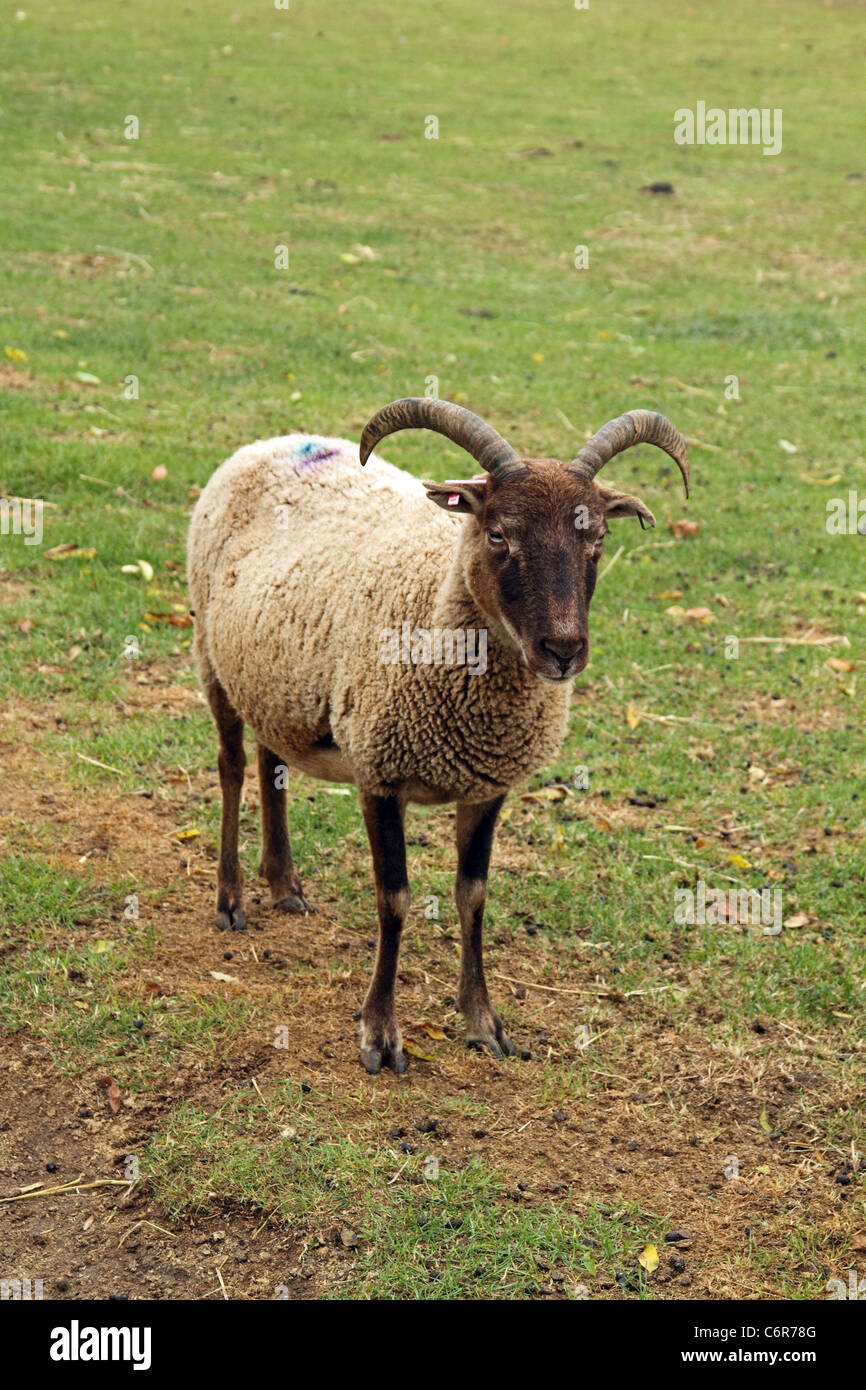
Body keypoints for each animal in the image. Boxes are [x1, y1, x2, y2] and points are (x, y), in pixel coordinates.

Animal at [187, 398, 690, 1074]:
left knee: (272, 762)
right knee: (232, 767)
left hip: (273, 674)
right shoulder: (379, 771)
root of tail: (278, 441)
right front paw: (380, 1035)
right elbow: (394, 899)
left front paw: (483, 1023)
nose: (563, 650)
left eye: (599, 540)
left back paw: (284, 883)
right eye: (498, 533)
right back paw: (231, 899)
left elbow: (472, 895)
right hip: (212, 657)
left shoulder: (488, 786)